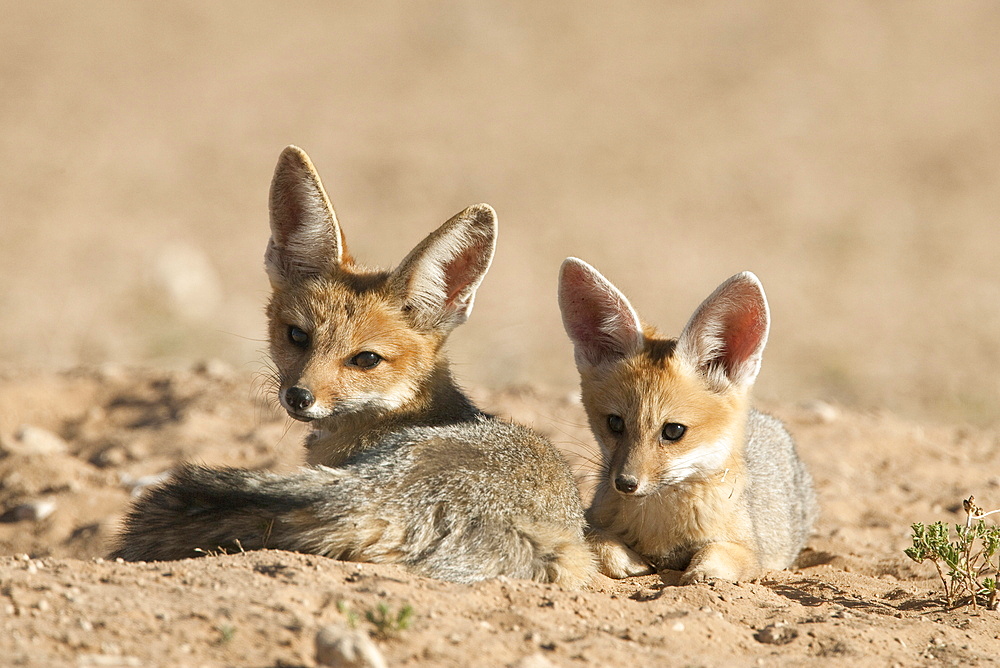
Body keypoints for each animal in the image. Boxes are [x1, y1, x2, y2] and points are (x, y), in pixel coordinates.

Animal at [560, 258, 816, 580]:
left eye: (673, 431)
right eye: (615, 423)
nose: (625, 483)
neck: (659, 525)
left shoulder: (748, 551)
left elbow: (717, 554)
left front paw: (702, 572)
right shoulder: (590, 519)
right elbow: (594, 538)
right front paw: (626, 559)